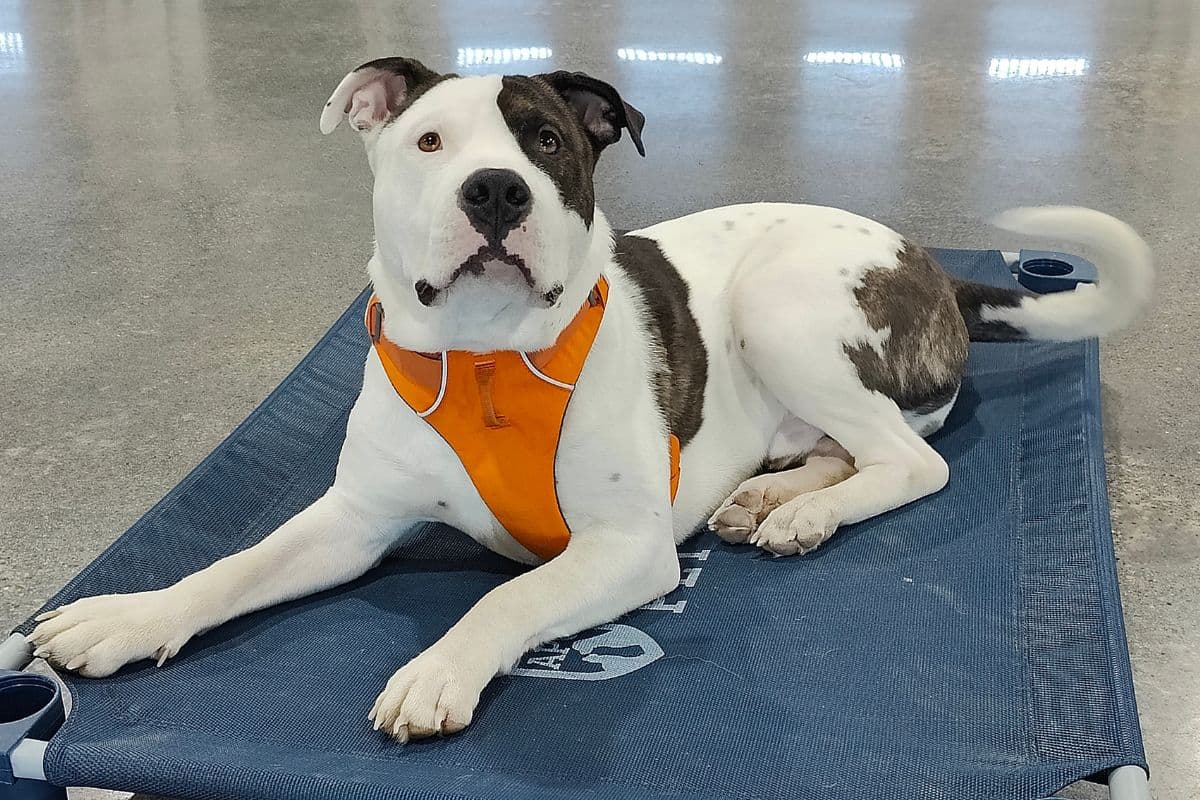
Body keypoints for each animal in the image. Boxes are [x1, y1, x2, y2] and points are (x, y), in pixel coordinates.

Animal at [28, 56, 1152, 743]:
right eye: (429, 142)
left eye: (547, 142)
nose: (495, 189)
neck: (487, 357)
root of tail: (934, 265)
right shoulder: (351, 519)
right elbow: (231, 569)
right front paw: (130, 615)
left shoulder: (623, 547)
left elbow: (508, 594)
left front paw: (442, 665)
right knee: (857, 447)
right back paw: (772, 497)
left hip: (780, 303)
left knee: (915, 461)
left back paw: (809, 514)